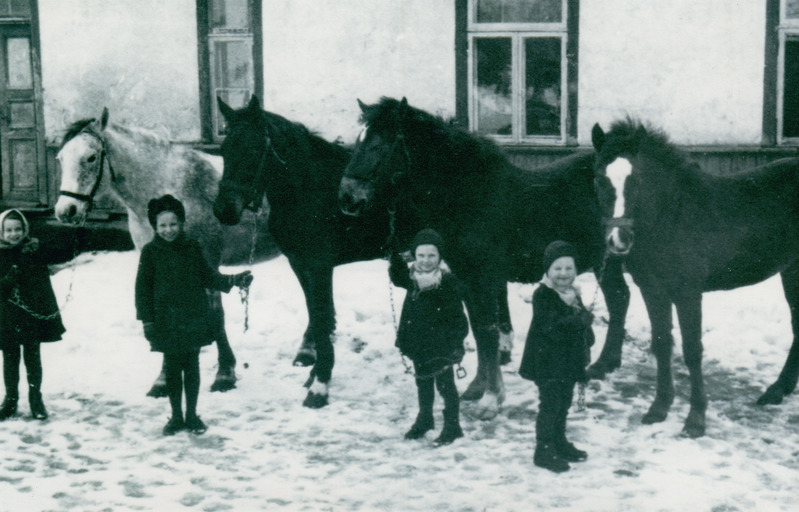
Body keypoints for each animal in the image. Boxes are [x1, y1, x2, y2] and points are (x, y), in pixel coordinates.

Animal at [54, 108, 276, 396]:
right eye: (60, 158)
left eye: (91, 157)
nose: (65, 211)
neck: (167, 191)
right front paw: (163, 379)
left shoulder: (207, 264)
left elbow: (216, 316)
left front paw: (225, 373)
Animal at [338, 97, 632, 420]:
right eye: (359, 141)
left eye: (381, 144)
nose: (347, 198)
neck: (469, 197)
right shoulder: (467, 278)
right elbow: (479, 331)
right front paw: (477, 387)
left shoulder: (483, 278)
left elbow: (488, 332)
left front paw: (491, 399)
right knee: (620, 298)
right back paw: (607, 364)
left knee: (619, 299)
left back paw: (603, 365)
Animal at [592, 117, 799, 436]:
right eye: (599, 179)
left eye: (636, 180)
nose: (619, 240)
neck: (671, 215)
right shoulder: (652, 290)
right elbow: (662, 342)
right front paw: (659, 408)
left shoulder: (687, 292)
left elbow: (692, 350)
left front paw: (695, 419)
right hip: (791, 270)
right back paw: (777, 391)